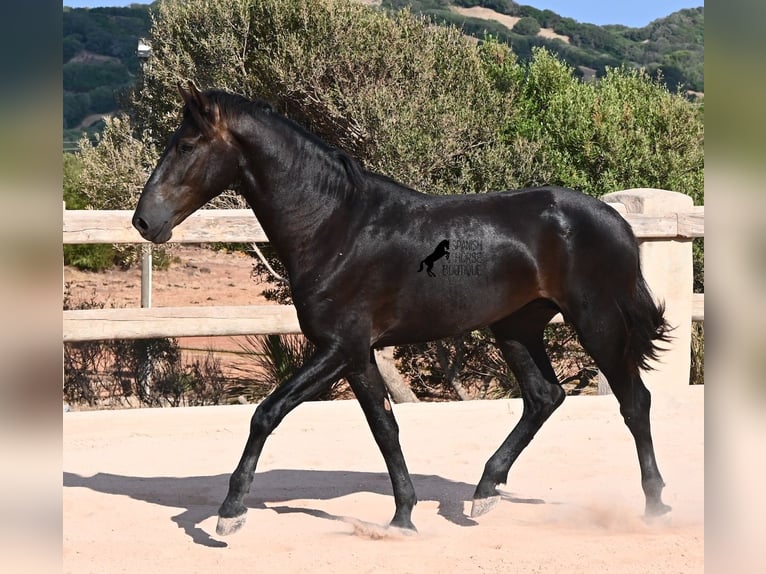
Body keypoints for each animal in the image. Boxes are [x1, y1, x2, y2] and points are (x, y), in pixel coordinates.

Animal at [133, 81, 672, 537]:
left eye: (186, 146)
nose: (144, 222)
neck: (337, 227)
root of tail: (617, 221)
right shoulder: (357, 353)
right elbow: (384, 428)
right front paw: (403, 516)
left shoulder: (338, 347)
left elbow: (267, 413)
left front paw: (230, 514)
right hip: (516, 327)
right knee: (545, 397)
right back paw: (482, 493)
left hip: (597, 322)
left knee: (635, 401)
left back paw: (655, 504)